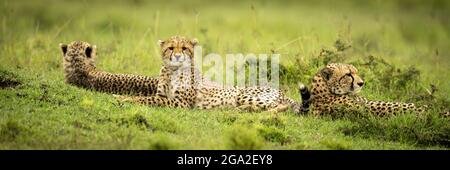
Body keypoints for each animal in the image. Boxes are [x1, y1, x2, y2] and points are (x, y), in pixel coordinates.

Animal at [118, 35, 302, 113]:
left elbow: (148, 99)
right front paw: (122, 97)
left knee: (278, 107)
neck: (172, 71)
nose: (177, 56)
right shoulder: (163, 95)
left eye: (184, 48)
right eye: (170, 48)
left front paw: (124, 99)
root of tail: (280, 91)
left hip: (244, 94)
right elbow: (149, 97)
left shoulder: (181, 103)